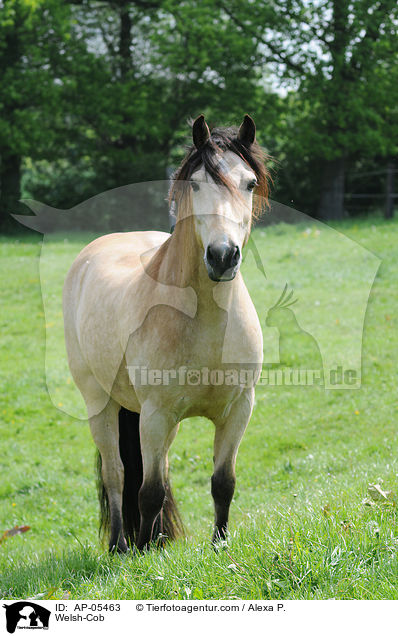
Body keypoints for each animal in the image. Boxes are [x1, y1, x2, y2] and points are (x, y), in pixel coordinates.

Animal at [63, 114, 270, 552]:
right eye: (196, 184)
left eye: (248, 183)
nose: (222, 256)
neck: (205, 324)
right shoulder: (156, 415)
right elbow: (149, 490)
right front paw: (142, 553)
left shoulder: (238, 410)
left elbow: (223, 483)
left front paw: (219, 545)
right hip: (100, 403)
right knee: (116, 474)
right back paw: (121, 545)